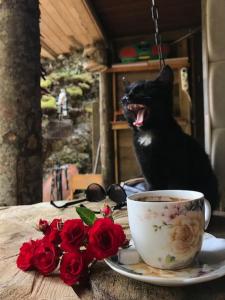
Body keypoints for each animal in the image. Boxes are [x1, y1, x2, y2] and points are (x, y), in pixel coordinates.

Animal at [120, 66, 219, 209]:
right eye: (126, 92)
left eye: (142, 89)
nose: (125, 98)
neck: (148, 133)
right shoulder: (149, 175)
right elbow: (153, 189)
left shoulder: (176, 174)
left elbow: (174, 189)